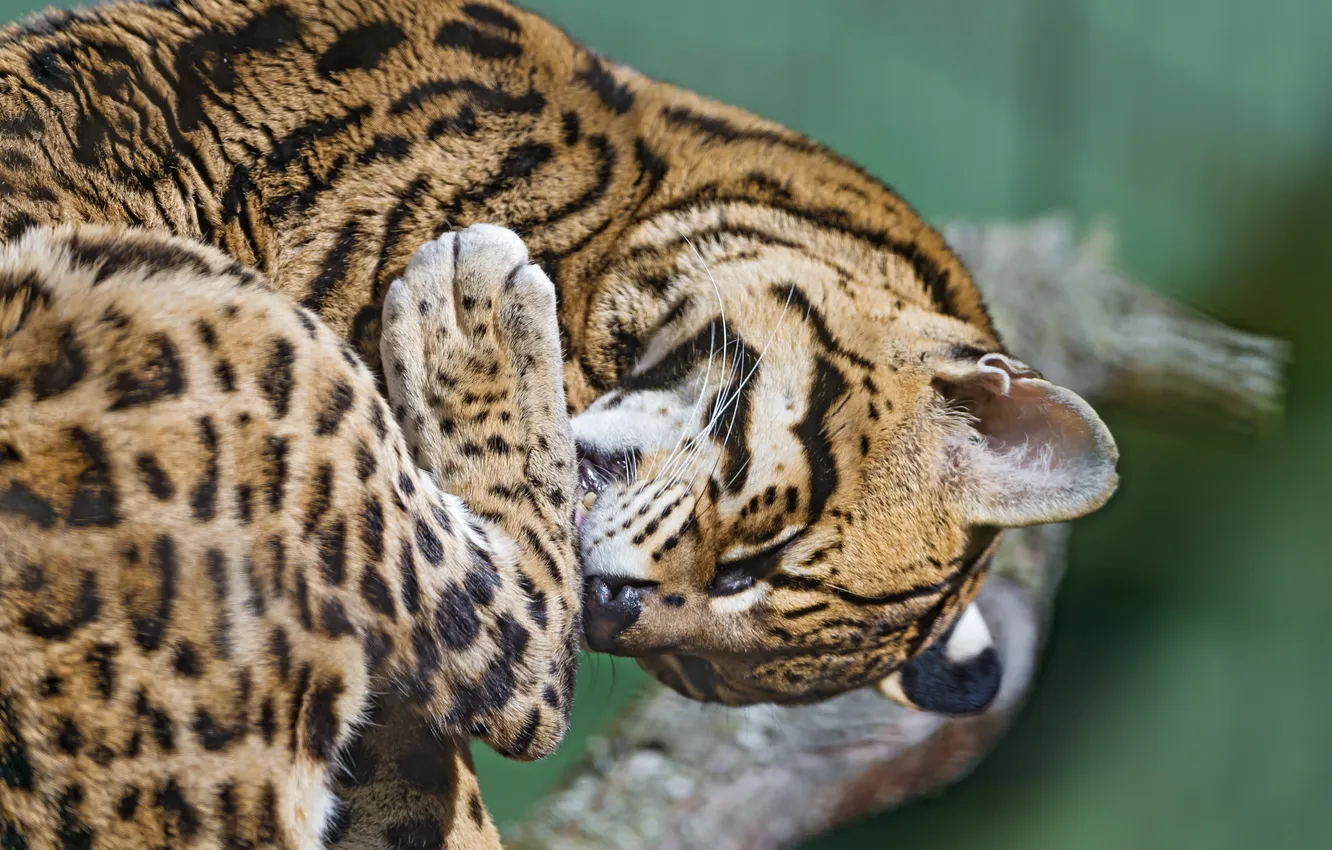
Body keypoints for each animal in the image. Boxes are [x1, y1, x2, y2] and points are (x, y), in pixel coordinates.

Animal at [0, 0, 1121, 847]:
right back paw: (475, 311)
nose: (614, 611)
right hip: (227, 335)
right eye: (754, 561)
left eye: (696, 671)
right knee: (522, 668)